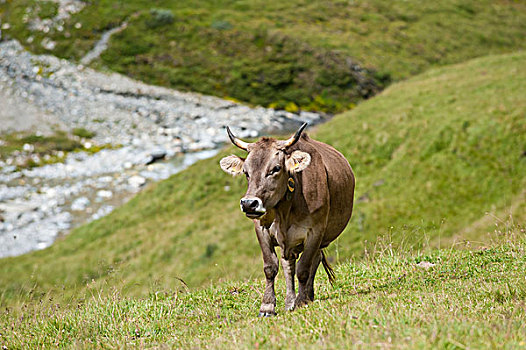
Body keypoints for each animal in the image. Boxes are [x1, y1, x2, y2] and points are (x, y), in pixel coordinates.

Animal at [221, 123, 356, 318]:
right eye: (246, 172)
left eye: (276, 168)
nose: (249, 204)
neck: (284, 211)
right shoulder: (261, 229)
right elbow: (270, 267)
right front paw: (267, 306)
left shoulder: (315, 231)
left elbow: (304, 268)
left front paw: (301, 300)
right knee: (288, 265)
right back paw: (290, 300)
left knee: (312, 261)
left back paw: (306, 296)